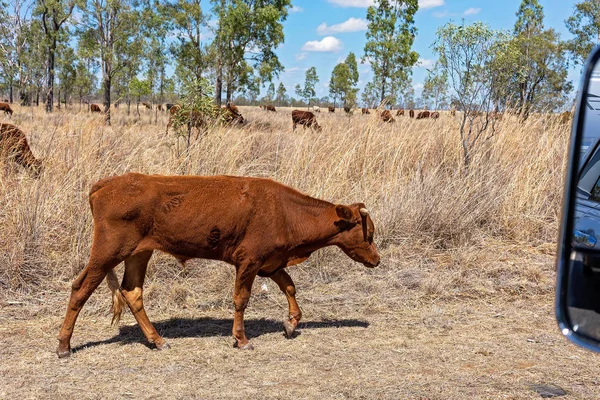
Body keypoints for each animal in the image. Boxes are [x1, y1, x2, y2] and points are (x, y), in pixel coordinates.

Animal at [54, 172, 378, 356]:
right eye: (370, 233)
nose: (377, 259)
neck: (285, 212)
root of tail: (107, 183)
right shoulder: (249, 260)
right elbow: (241, 299)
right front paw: (242, 339)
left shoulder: (271, 262)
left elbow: (290, 287)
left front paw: (291, 322)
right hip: (107, 251)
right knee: (80, 288)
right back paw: (64, 346)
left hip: (138, 252)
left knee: (133, 292)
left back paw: (157, 340)